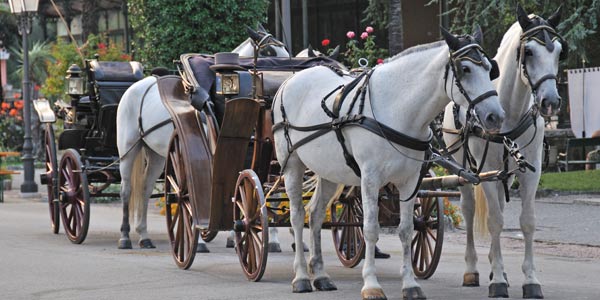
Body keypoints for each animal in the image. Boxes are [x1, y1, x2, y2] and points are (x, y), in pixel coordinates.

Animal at [115, 26, 290, 251]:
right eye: (269, 52)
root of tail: (137, 87)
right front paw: (202, 240)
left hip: (156, 155)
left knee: (145, 189)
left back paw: (144, 235)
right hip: (129, 148)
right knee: (127, 190)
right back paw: (125, 236)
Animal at [274, 27, 504, 298]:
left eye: (490, 68)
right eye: (465, 69)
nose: (495, 116)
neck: (397, 110)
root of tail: (288, 82)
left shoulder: (410, 182)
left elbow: (405, 230)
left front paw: (411, 285)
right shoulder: (370, 179)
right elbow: (370, 229)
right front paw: (371, 285)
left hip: (329, 172)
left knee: (316, 214)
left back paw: (320, 275)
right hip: (292, 166)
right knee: (298, 217)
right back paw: (301, 277)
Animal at [442, 4, 564, 298]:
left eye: (558, 51)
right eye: (528, 51)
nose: (551, 102)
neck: (510, 111)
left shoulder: (530, 171)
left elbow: (527, 221)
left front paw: (530, 280)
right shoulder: (484, 170)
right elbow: (495, 221)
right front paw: (497, 280)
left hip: (503, 174)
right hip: (464, 171)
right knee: (469, 210)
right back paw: (473, 269)